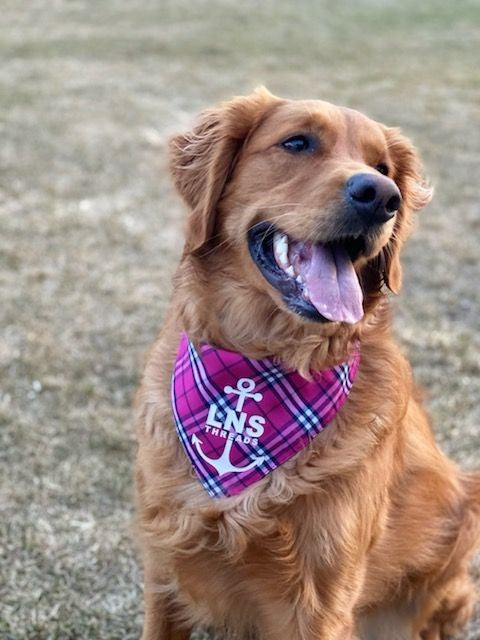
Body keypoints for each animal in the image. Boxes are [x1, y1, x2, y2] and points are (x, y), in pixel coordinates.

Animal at [134, 90, 480, 640]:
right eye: (297, 143)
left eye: (382, 167)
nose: (382, 197)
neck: (261, 368)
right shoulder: (165, 562)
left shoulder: (319, 602)